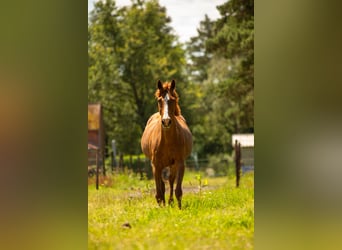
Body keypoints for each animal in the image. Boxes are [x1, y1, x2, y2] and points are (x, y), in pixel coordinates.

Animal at [141, 80, 192, 209]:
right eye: (159, 100)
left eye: (172, 100)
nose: (166, 121)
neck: (167, 141)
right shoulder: (155, 165)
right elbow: (159, 191)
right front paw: (161, 207)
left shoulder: (180, 163)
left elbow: (178, 190)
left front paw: (178, 208)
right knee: (163, 185)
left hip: (172, 165)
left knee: (170, 181)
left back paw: (170, 202)